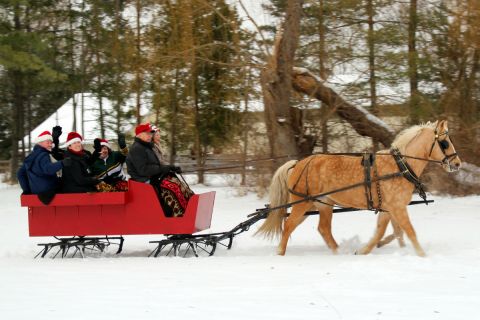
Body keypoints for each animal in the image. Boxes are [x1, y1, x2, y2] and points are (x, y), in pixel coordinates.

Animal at [256, 119, 464, 256]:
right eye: (444, 143)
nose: (457, 163)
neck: (400, 166)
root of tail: (298, 164)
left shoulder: (389, 208)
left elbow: (387, 231)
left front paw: (366, 250)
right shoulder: (397, 207)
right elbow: (409, 231)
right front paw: (422, 255)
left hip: (321, 204)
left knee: (322, 229)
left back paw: (337, 252)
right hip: (302, 204)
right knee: (289, 225)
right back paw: (280, 253)